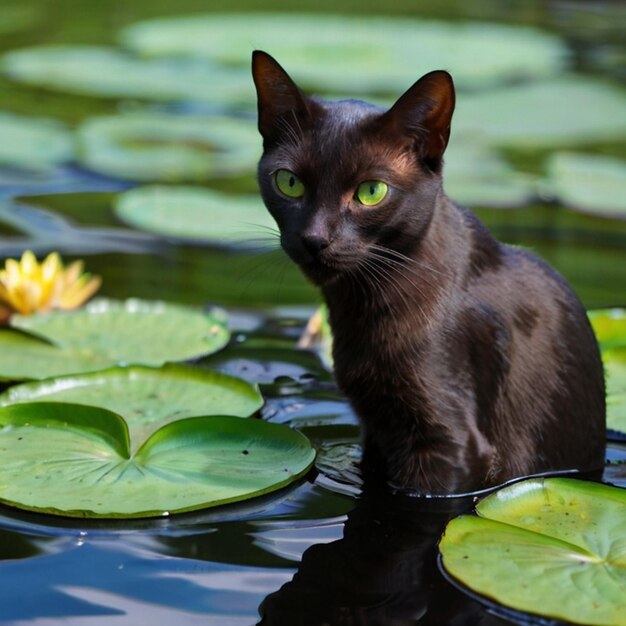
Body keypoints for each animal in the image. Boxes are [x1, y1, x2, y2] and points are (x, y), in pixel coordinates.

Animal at [251, 51, 604, 490]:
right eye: (289, 182)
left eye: (371, 192)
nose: (315, 238)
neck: (361, 308)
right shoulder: (374, 429)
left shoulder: (449, 444)